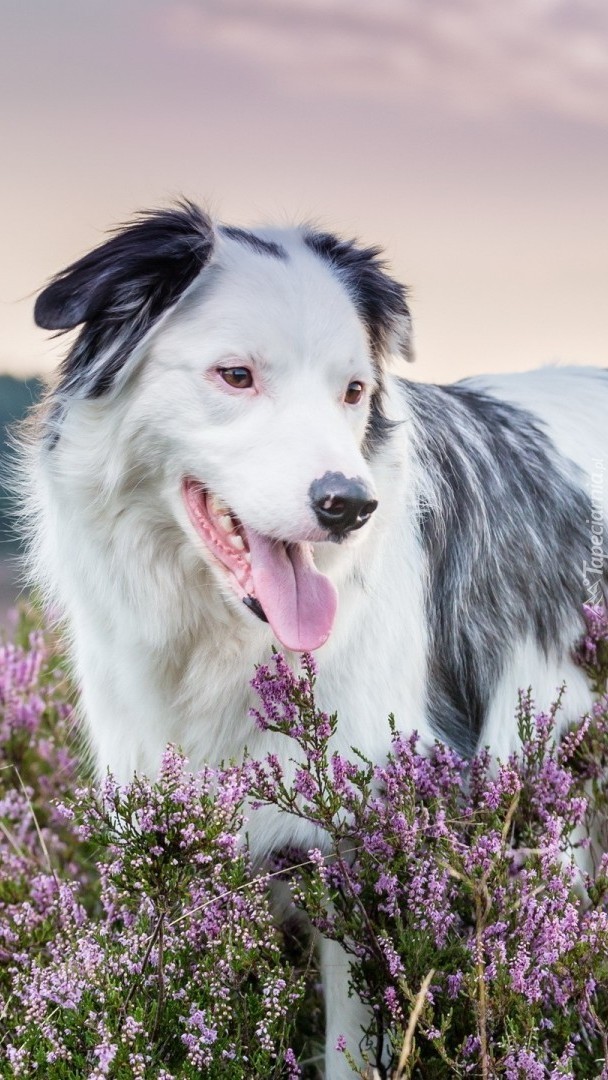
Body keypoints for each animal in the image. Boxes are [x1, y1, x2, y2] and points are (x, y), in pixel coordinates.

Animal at [21, 204, 604, 1080]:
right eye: (236, 376)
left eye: (353, 391)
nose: (349, 505)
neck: (222, 641)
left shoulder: (365, 839)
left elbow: (349, 1043)